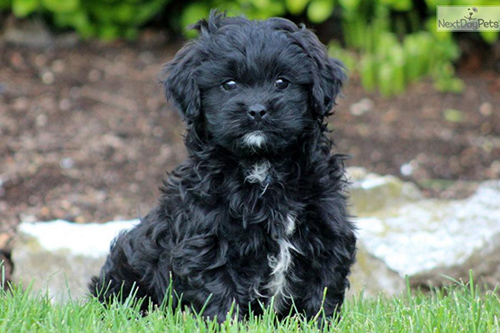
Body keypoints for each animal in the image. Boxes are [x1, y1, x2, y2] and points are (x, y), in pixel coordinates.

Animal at [89, 11, 356, 322]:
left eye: (282, 82)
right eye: (229, 84)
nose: (257, 110)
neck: (262, 166)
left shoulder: (327, 232)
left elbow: (322, 288)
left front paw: (318, 323)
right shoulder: (207, 240)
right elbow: (218, 289)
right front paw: (227, 323)